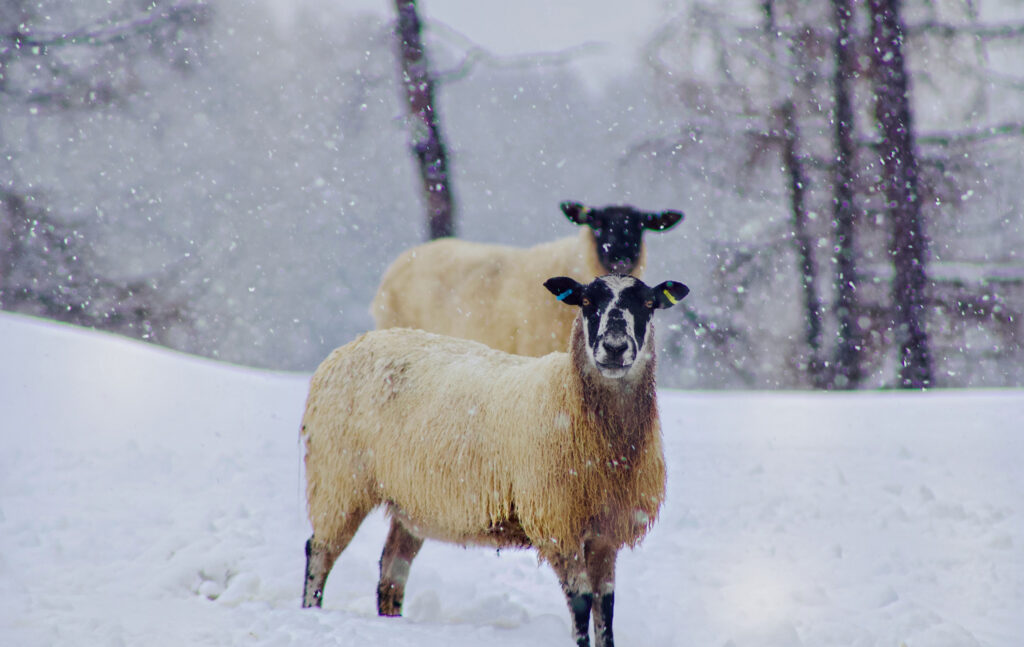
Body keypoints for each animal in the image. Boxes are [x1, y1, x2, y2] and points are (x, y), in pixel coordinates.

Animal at [299, 274, 692, 647]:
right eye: (585, 301)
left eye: (648, 304)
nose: (614, 348)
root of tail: (346, 348)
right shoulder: (558, 523)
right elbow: (581, 603)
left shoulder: (605, 533)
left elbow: (605, 607)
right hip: (337, 477)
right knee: (319, 552)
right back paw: (311, 612)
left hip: (410, 502)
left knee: (392, 568)